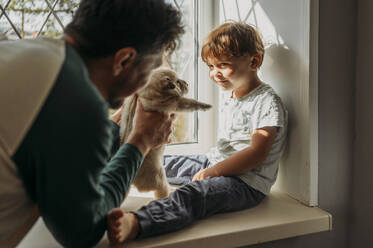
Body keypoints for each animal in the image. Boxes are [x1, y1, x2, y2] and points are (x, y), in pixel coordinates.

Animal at [120, 67, 211, 199]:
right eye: (177, 82)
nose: (187, 83)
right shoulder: (175, 103)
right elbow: (191, 102)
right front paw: (205, 105)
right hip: (159, 179)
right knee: (162, 191)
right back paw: (170, 192)